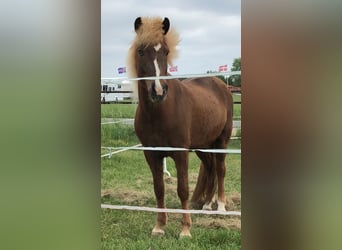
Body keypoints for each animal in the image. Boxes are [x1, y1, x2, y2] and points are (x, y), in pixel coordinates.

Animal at [127, 16, 234, 237]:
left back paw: (220, 206)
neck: (160, 112)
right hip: (203, 146)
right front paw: (159, 226)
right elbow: (159, 188)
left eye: (166, 52)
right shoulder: (151, 154)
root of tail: (221, 85)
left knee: (220, 169)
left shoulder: (180, 153)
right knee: (210, 167)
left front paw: (185, 230)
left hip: (221, 141)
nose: (158, 91)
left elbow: (183, 189)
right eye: (141, 51)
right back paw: (206, 204)